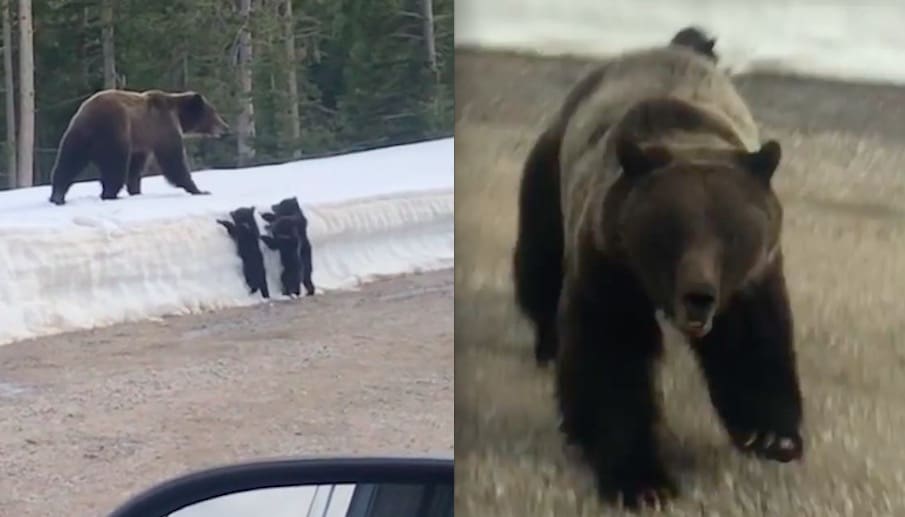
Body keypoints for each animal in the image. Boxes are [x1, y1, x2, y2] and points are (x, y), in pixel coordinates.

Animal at [46, 88, 231, 204]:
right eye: (213, 113)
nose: (225, 128)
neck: (179, 116)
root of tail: (89, 118)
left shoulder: (142, 142)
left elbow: (136, 167)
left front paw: (136, 190)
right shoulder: (163, 129)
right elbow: (173, 161)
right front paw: (199, 189)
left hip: (76, 138)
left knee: (67, 165)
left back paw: (57, 196)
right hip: (114, 133)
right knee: (115, 167)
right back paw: (110, 194)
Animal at [512, 41, 800, 508]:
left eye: (731, 235)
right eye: (671, 233)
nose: (699, 296)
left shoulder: (752, 279)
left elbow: (752, 345)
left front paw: (773, 436)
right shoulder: (610, 266)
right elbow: (613, 358)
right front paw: (641, 480)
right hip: (550, 175)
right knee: (540, 264)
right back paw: (549, 348)